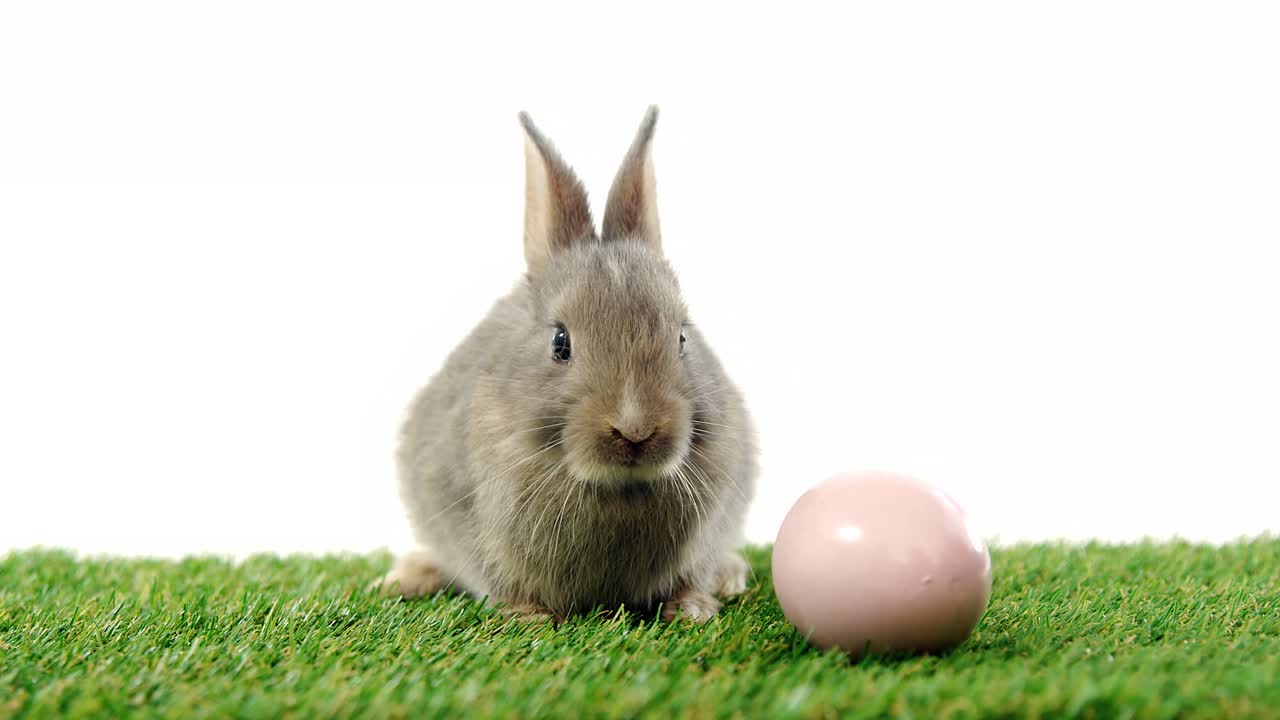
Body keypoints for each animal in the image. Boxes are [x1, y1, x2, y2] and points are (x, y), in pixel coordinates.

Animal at [376, 107, 757, 623]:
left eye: (682, 337)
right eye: (560, 342)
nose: (636, 430)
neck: (618, 487)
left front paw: (693, 609)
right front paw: (529, 617)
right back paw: (407, 577)